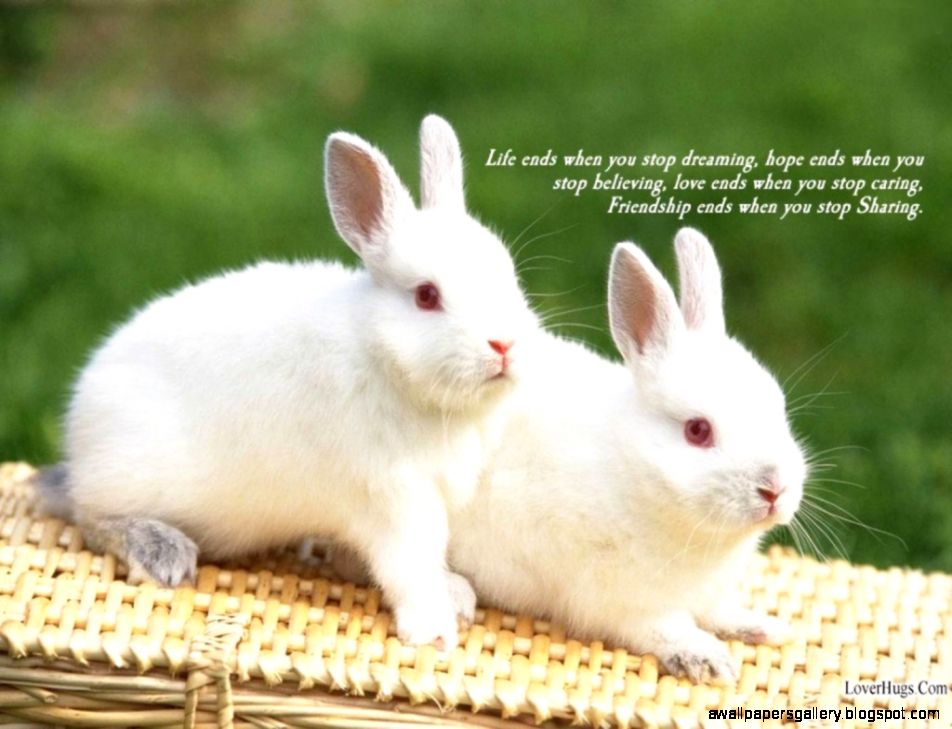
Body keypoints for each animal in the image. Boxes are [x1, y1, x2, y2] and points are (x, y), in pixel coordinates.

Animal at [39, 114, 539, 651]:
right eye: (427, 296)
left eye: (509, 275)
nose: (505, 345)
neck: (384, 360)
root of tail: (79, 428)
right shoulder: (394, 498)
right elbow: (410, 566)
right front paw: (434, 630)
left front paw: (456, 594)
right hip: (127, 476)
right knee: (90, 518)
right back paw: (163, 552)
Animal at [442, 228, 807, 682]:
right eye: (698, 430)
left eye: (778, 408)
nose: (775, 488)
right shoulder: (618, 600)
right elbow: (664, 627)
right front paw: (707, 660)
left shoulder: (707, 593)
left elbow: (718, 611)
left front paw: (763, 626)